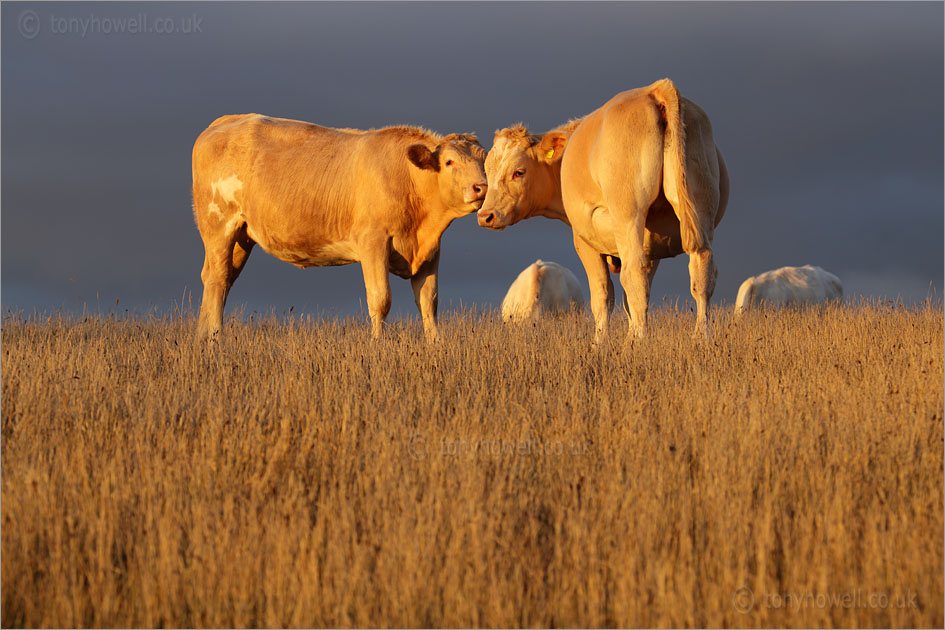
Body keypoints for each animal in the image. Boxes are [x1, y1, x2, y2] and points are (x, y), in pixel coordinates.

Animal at [192, 113, 486, 344]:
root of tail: (225, 122)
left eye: (485, 161)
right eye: (449, 162)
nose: (481, 187)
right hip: (218, 224)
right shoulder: (373, 242)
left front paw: (436, 345)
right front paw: (377, 345)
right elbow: (380, 299)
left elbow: (429, 301)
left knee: (219, 278)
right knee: (218, 278)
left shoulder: (430, 251)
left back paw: (203, 336)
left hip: (242, 236)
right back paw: (215, 337)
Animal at [480, 81, 732, 346]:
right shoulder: (652, 244)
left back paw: (638, 342)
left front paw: (600, 343)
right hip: (700, 208)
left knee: (634, 273)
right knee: (701, 269)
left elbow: (602, 295)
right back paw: (701, 336)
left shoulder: (585, 241)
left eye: (519, 172)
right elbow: (630, 301)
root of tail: (654, 89)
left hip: (629, 213)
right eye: (488, 170)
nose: (485, 215)